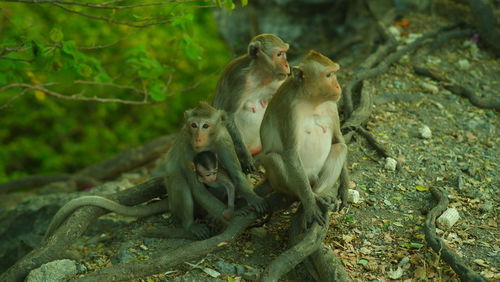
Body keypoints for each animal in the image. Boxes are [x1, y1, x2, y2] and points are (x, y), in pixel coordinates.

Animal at [213, 34, 292, 173]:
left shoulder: (278, 81)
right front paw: (246, 160)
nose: (287, 65)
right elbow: (226, 115)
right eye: (278, 54)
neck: (260, 75)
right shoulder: (239, 79)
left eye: (284, 53)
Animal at [258, 50, 348, 227]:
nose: (338, 86)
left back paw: (319, 193)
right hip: (289, 180)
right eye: (329, 75)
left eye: (334, 73)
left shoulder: (332, 105)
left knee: (340, 148)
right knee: (275, 159)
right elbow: (291, 153)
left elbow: (338, 139)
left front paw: (345, 186)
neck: (312, 100)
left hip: (315, 177)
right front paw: (311, 205)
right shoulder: (289, 109)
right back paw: (309, 197)